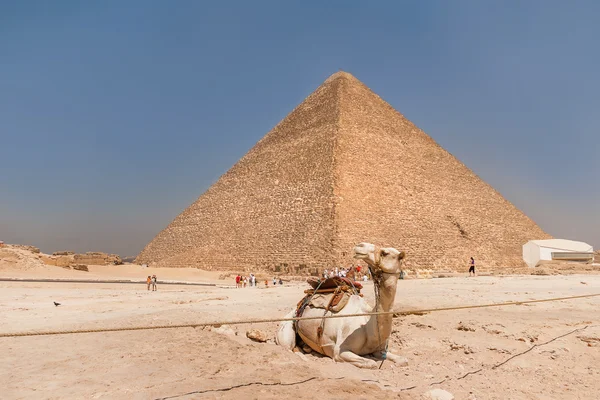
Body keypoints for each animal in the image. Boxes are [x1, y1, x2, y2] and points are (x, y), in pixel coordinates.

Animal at [276, 241, 408, 368]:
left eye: (384, 253)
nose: (360, 245)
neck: (368, 326)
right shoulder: (339, 352)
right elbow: (372, 363)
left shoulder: (379, 350)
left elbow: (403, 360)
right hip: (286, 329)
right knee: (289, 349)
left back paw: (306, 347)